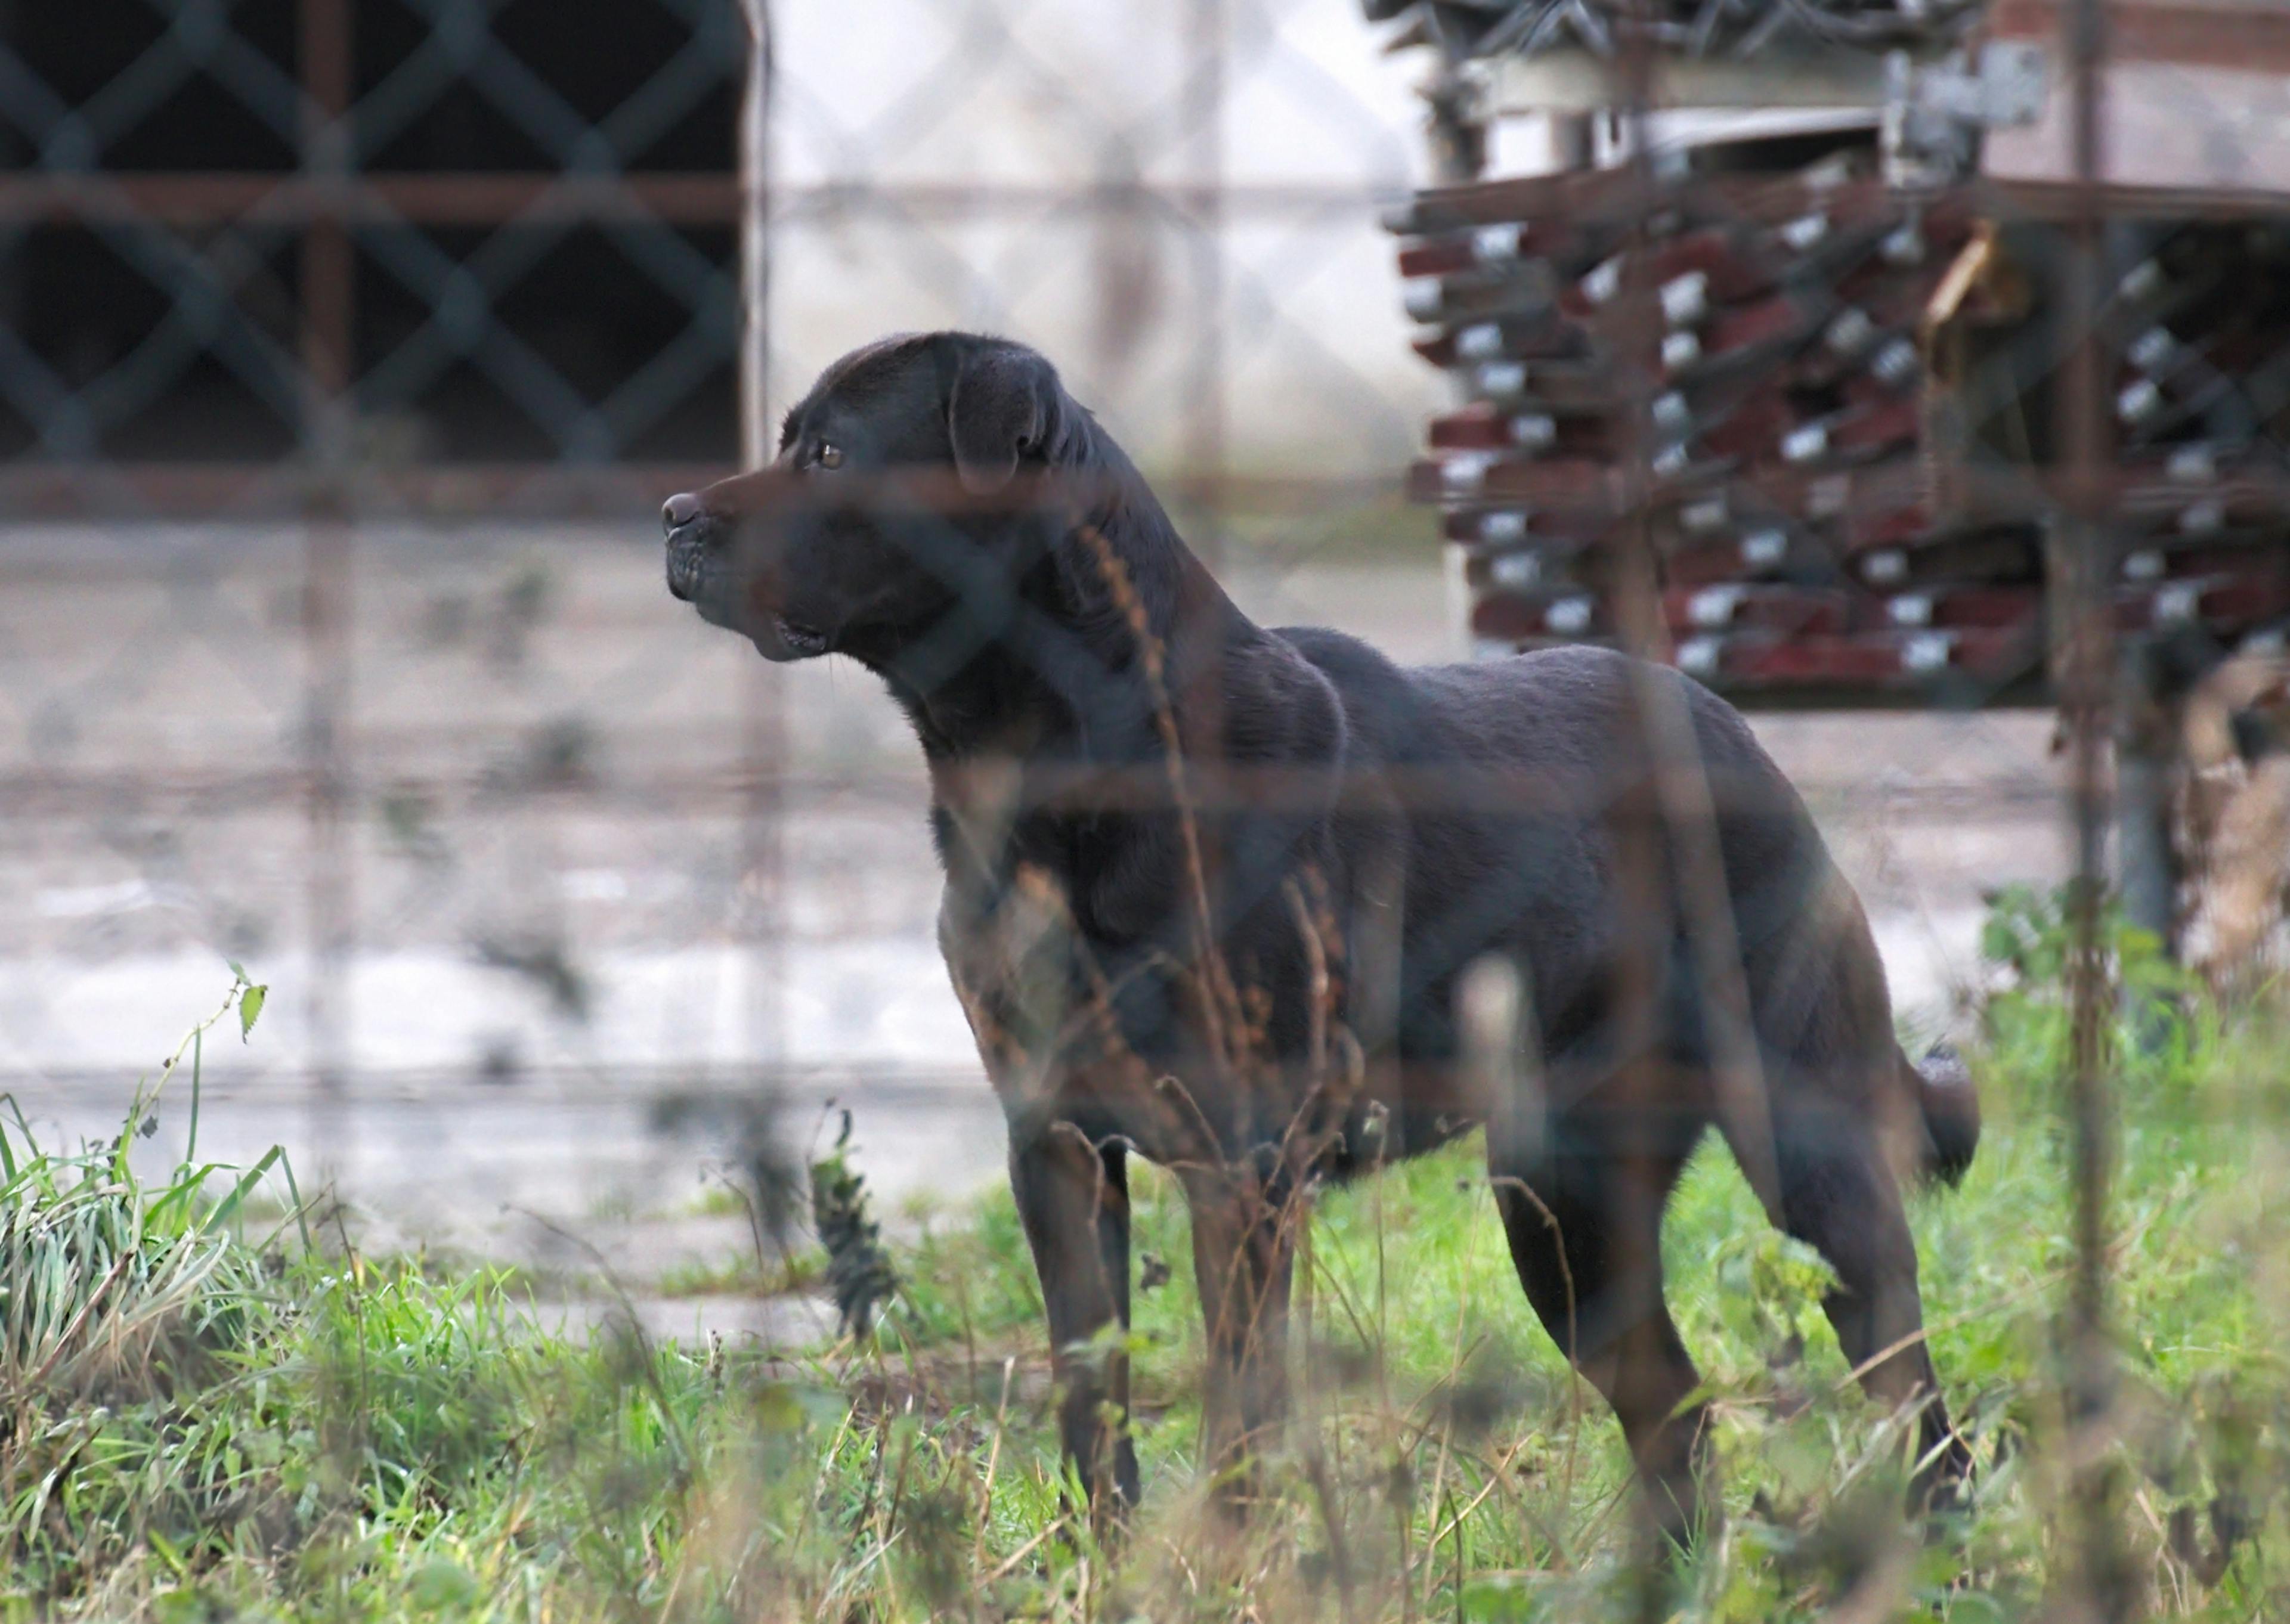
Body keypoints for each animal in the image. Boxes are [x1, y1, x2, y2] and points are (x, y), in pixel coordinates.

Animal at [659, 330, 1969, 1530]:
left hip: (1803, 1143)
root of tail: (1740, 736)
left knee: (1908, 1389)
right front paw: (1108, 1562)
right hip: (1562, 1194)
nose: (673, 514)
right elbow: (1092, 1393)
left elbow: (1242, 1406)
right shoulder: (1056, 1141)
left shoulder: (1242, 1160)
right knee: (1673, 1410)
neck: (1061, 759)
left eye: (832, 454)